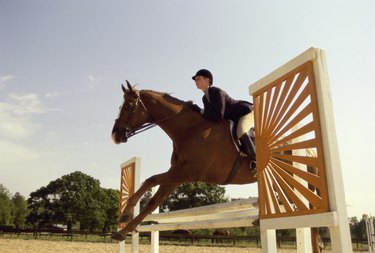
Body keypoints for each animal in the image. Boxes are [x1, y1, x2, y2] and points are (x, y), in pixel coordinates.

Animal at [111, 81, 258, 241]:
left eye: (128, 106)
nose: (115, 135)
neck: (191, 130)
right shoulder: (176, 174)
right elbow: (153, 199)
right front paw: (123, 226)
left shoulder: (188, 173)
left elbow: (151, 181)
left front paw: (125, 219)